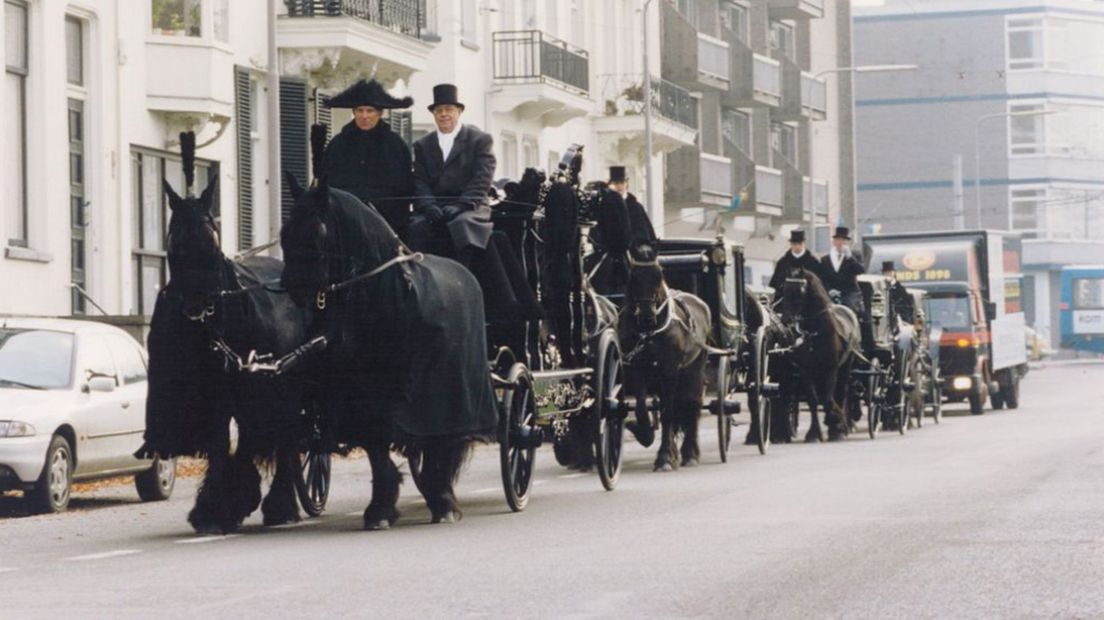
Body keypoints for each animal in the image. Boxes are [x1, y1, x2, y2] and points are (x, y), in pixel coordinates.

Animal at [139, 130, 311, 531]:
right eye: (174, 239)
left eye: (212, 235)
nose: (196, 302)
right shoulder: (206, 393)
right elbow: (219, 443)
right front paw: (214, 509)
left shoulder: (244, 386)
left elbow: (245, 441)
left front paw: (229, 503)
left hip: (282, 382)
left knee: (284, 434)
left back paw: (281, 505)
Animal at [280, 124, 496, 525]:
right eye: (285, 228)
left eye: (318, 228)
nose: (295, 287)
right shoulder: (359, 392)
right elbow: (376, 442)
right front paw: (381, 506)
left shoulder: (424, 391)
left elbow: (429, 439)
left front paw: (437, 500)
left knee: (446, 440)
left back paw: (442, 497)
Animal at [618, 246, 710, 467]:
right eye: (632, 277)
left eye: (659, 275)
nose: (646, 316)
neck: (649, 333)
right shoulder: (638, 369)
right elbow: (642, 410)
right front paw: (644, 433)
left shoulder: (669, 370)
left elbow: (668, 412)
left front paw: (665, 457)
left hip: (694, 367)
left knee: (693, 403)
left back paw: (690, 453)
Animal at [772, 269, 856, 439]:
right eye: (785, 289)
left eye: (800, 291)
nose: (785, 320)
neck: (816, 331)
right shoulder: (806, 370)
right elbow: (813, 399)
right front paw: (814, 433)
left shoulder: (830, 369)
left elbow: (828, 398)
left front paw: (835, 424)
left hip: (846, 366)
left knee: (841, 392)